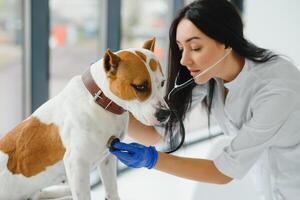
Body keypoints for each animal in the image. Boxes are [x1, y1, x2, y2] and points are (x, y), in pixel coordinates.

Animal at [0, 38, 169, 199]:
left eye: (162, 83)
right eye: (140, 87)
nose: (165, 114)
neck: (100, 102)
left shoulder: (108, 157)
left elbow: (112, 190)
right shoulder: (76, 163)